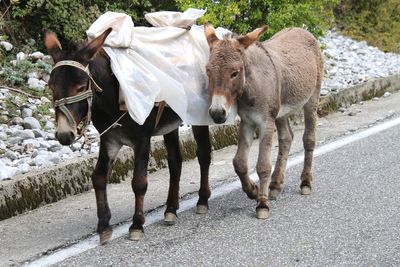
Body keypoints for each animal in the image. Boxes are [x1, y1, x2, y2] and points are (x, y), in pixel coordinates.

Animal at [205, 23, 324, 220]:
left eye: (235, 73)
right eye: (208, 71)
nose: (217, 113)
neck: (251, 86)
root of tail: (301, 29)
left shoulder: (265, 122)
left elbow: (262, 165)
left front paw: (262, 204)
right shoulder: (247, 122)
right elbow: (239, 162)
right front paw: (253, 191)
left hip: (311, 99)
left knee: (309, 139)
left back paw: (305, 182)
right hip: (281, 111)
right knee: (286, 138)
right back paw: (275, 185)